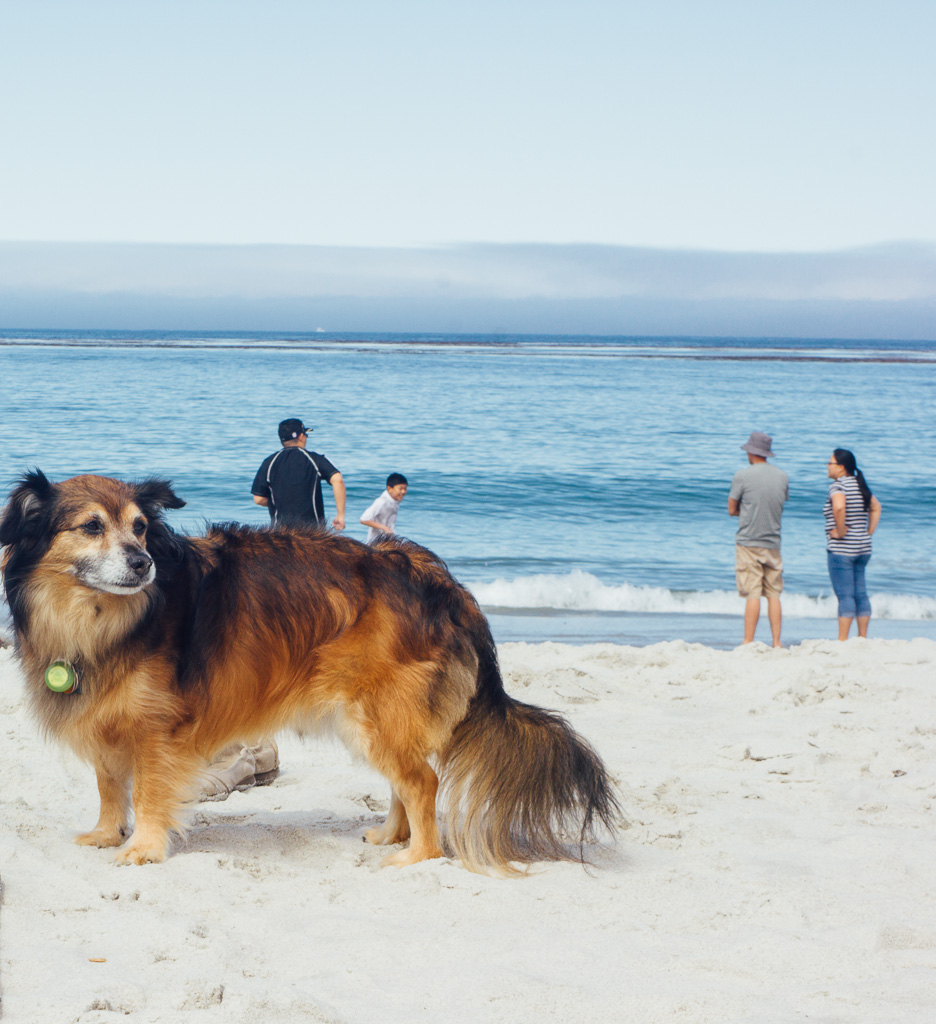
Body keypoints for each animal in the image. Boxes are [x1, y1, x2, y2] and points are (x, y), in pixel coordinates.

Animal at [1, 471, 618, 872]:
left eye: (141, 528)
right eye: (91, 527)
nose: (143, 562)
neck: (103, 618)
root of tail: (441, 581)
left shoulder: (158, 731)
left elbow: (149, 792)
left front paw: (143, 848)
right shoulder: (103, 718)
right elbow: (110, 786)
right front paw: (106, 834)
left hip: (377, 711)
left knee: (423, 781)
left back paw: (418, 856)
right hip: (376, 718)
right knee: (407, 779)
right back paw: (391, 836)